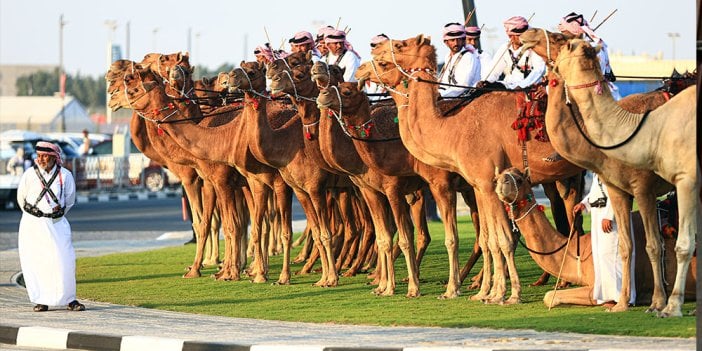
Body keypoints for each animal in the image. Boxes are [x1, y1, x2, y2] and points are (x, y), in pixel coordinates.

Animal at [364, 35, 588, 306]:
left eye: (398, 47)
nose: (366, 62)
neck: (455, 130)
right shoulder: (480, 185)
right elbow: (489, 239)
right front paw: (486, 292)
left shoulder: (481, 183)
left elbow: (500, 239)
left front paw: (502, 294)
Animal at [496, 169, 700, 310]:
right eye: (498, 177)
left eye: (519, 179)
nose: (501, 182)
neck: (580, 252)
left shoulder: (594, 287)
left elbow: (549, 296)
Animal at [524, 26, 700, 314]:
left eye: (563, 40)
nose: (526, 33)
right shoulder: (618, 188)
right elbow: (627, 246)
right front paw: (621, 303)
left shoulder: (644, 187)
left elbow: (654, 245)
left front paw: (657, 302)